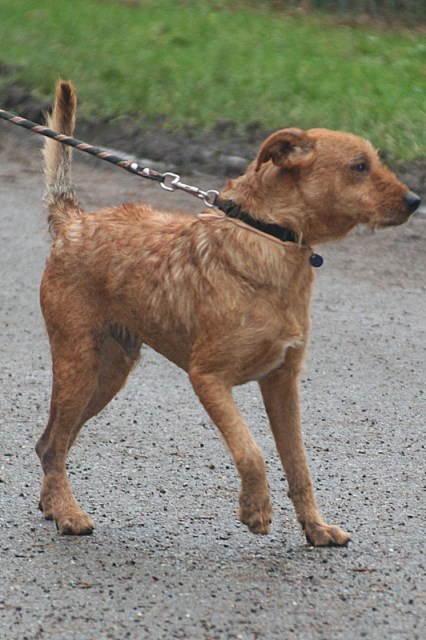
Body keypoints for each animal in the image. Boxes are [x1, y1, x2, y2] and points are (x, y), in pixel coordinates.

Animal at [35, 82, 420, 548]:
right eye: (359, 167)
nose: (415, 200)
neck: (270, 236)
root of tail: (73, 222)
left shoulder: (283, 385)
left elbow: (299, 466)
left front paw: (315, 527)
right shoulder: (208, 378)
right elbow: (251, 451)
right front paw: (255, 510)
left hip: (107, 374)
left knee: (52, 441)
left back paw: (53, 505)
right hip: (80, 365)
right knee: (53, 444)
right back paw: (69, 513)